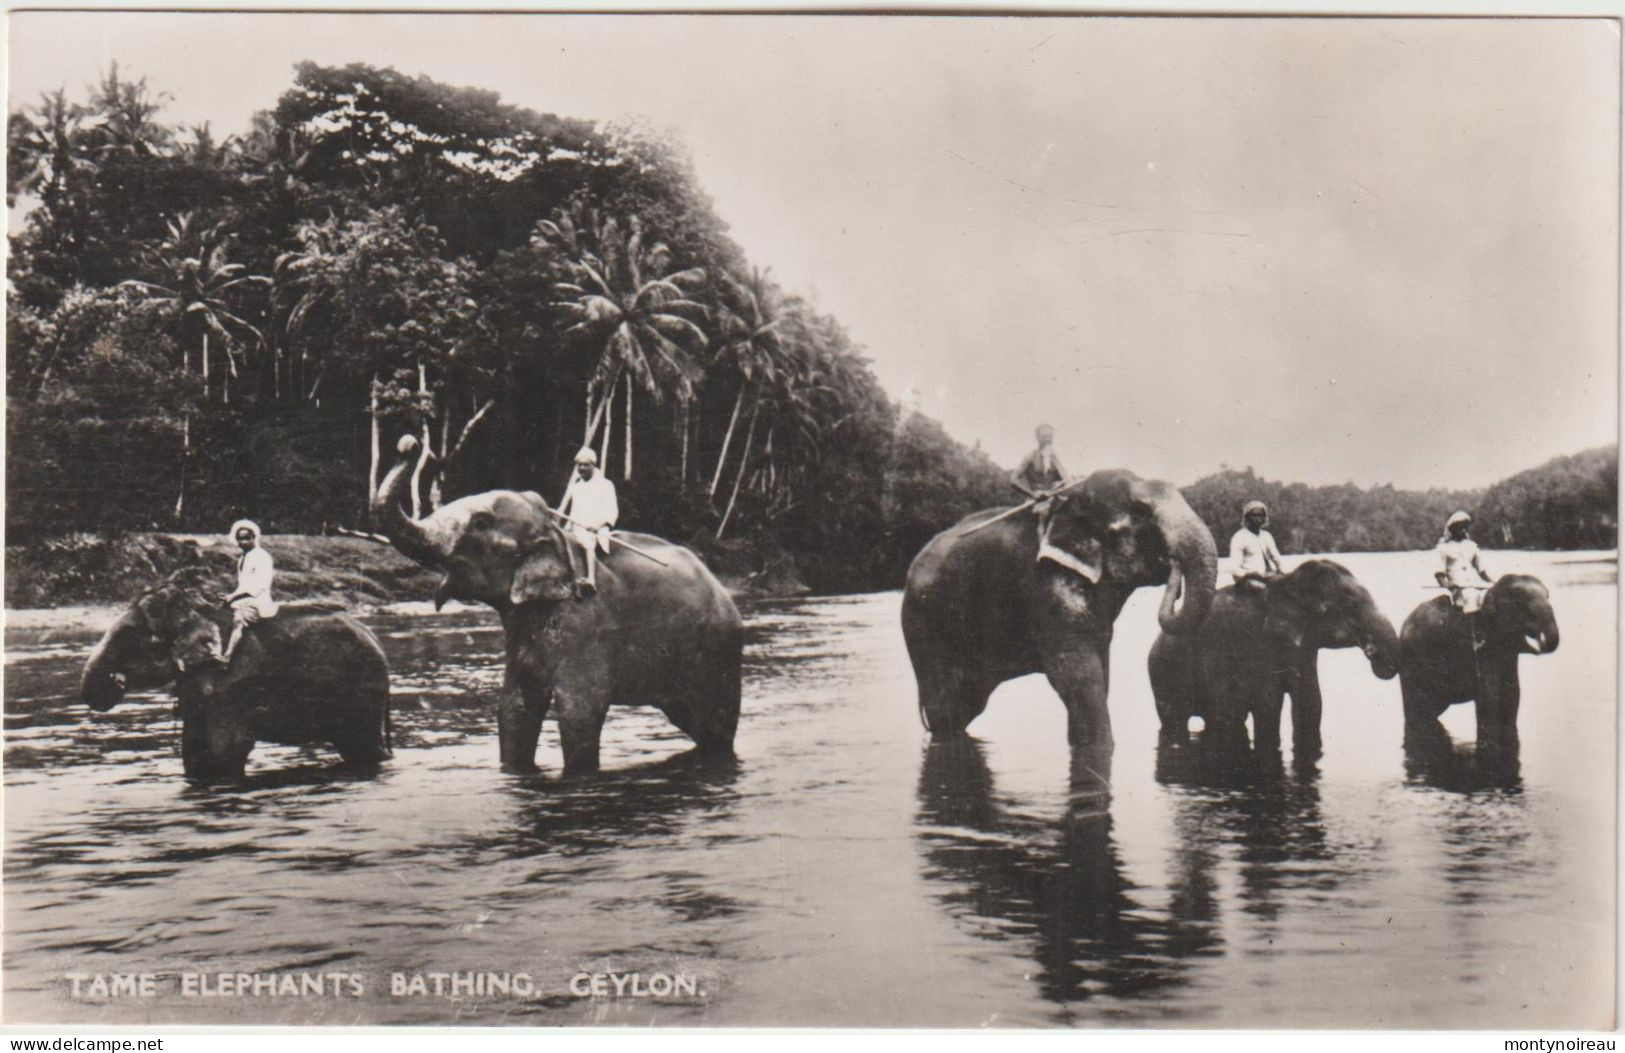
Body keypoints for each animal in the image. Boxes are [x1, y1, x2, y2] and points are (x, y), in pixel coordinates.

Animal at [83, 568, 396, 780]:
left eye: (136, 639)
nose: (115, 681)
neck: (197, 610)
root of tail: (376, 639)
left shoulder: (230, 689)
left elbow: (224, 753)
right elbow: (194, 754)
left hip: (362, 694)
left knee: (362, 748)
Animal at [372, 435, 741, 773]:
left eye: (480, 523)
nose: (409, 444)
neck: (555, 535)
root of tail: (722, 590)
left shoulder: (586, 627)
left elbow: (580, 710)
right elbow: (515, 708)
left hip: (717, 653)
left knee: (716, 725)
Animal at [903, 468, 1222, 747]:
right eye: (1142, 511)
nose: (1173, 567)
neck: (1072, 503)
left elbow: (1099, 674)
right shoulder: (1049, 585)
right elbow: (1077, 677)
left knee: (968, 704)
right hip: (924, 625)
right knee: (946, 706)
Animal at [1144, 559, 1397, 757]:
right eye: (1350, 606)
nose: (1375, 654)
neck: (1288, 582)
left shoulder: (1303, 646)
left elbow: (1310, 701)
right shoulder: (1259, 645)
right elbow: (1269, 705)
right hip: (1162, 677)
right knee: (1182, 719)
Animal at [1397, 572, 1560, 754]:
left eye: (1548, 596)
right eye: (1520, 602)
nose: (1539, 642)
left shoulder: (1508, 653)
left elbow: (1512, 695)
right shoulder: (1483, 645)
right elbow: (1488, 697)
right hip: (1412, 661)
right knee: (1418, 711)